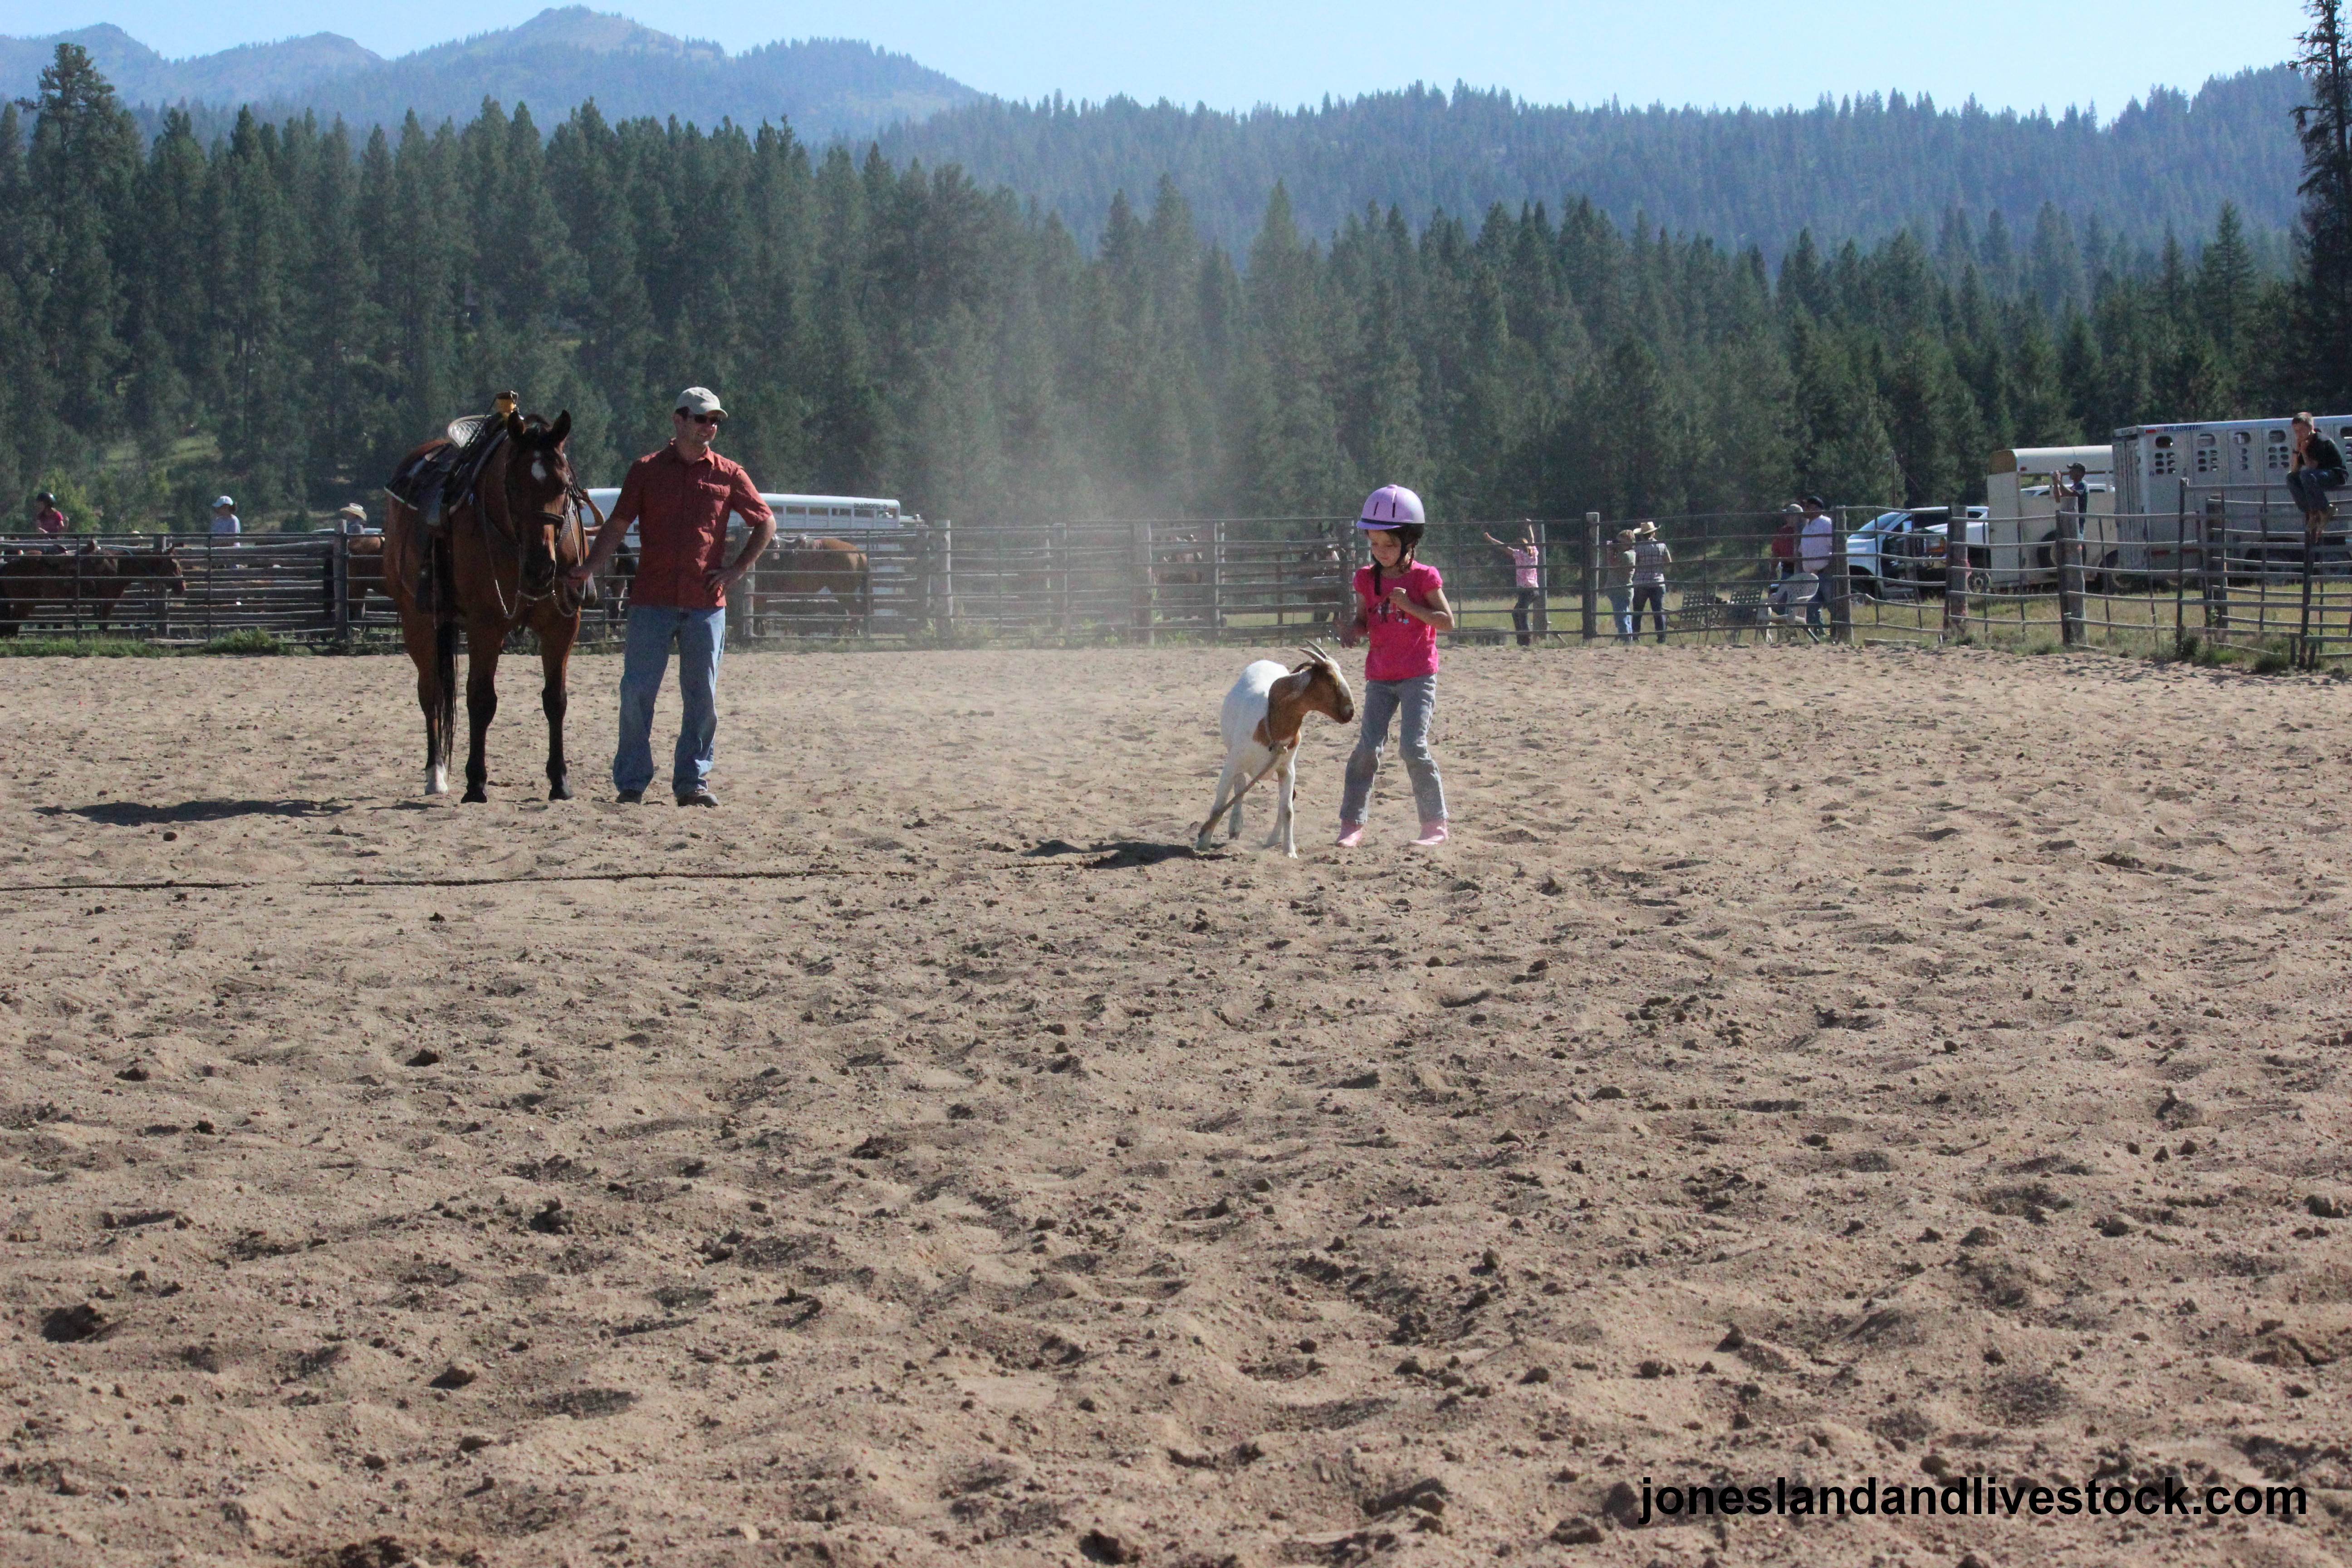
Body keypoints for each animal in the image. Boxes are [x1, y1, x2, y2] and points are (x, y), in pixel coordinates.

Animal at [0, 544, 185, 636]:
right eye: (173, 563)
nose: (182, 587)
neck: (118, 565)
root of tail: (9, 565)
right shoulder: (108, 601)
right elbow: (103, 626)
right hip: (24, 603)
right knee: (11, 627)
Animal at [382, 411, 590, 801]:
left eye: (563, 485)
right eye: (513, 486)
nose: (541, 567)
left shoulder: (562, 625)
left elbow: (555, 700)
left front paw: (560, 781)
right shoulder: (486, 625)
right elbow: (481, 700)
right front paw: (476, 783)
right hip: (417, 621)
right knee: (431, 692)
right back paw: (436, 774)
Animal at [1196, 644, 1356, 857]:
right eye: (1330, 679)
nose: (1350, 712)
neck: (1269, 722)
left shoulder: (1287, 770)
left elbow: (1287, 810)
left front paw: (1290, 851)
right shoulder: (1232, 764)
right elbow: (1219, 805)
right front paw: (1203, 843)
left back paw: (1270, 839)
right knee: (1240, 785)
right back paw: (1235, 827)